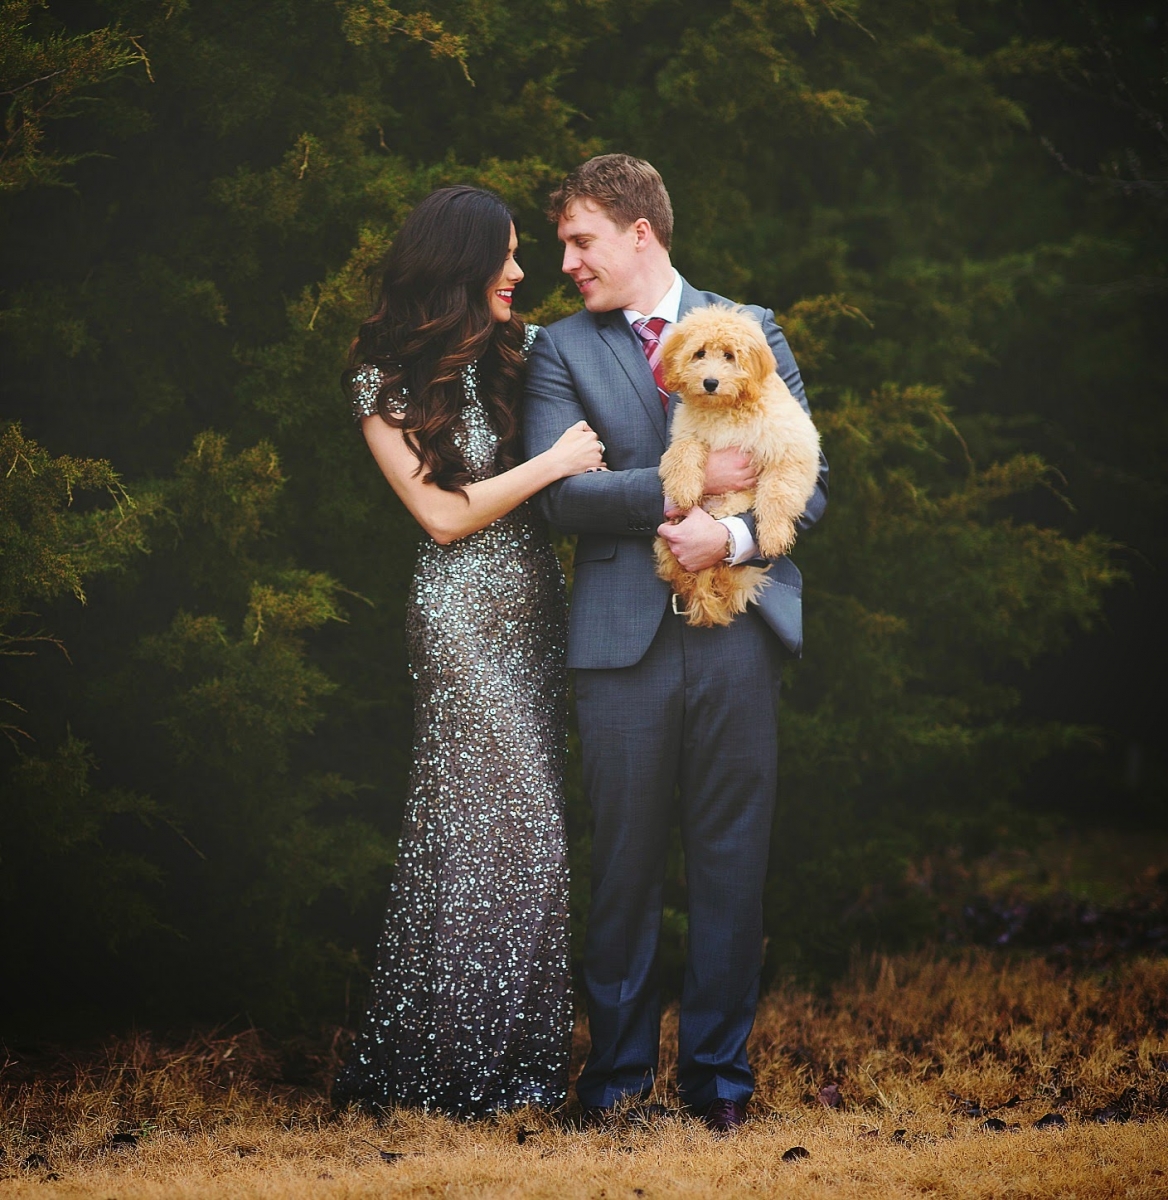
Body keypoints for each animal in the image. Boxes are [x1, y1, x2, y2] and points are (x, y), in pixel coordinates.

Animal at [657, 304, 821, 628]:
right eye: (699, 353)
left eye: (730, 355)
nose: (710, 383)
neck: (725, 409)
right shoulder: (688, 432)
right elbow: (683, 451)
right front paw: (682, 489)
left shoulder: (792, 447)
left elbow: (777, 493)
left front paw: (773, 536)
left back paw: (727, 509)